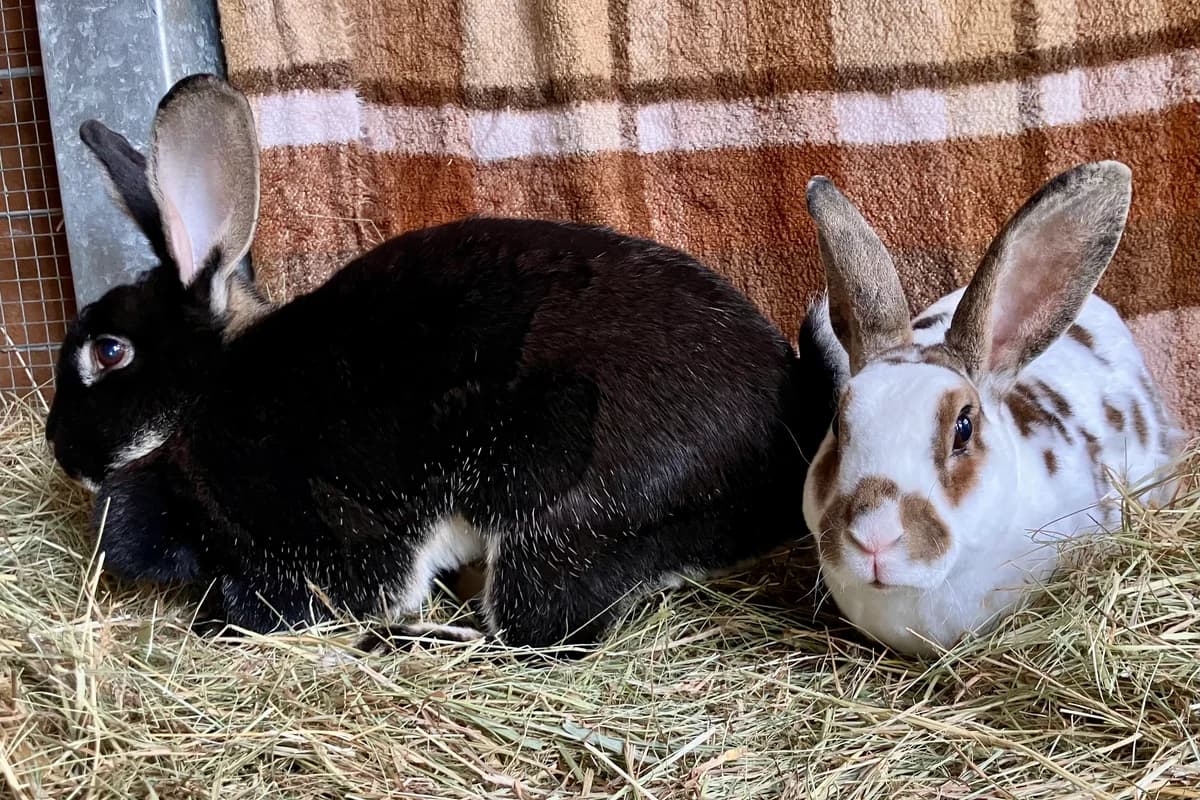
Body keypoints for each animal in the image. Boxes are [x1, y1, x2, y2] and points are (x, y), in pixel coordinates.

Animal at [43, 73, 837, 652]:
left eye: (108, 352)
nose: (60, 451)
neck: (207, 395)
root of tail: (782, 454)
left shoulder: (321, 536)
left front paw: (225, 622)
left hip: (555, 512)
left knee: (539, 634)